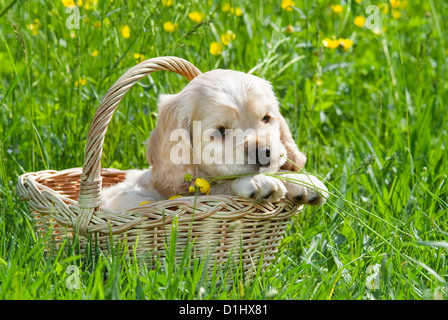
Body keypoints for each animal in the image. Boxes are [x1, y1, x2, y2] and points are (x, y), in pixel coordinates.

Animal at [100, 69, 328, 211]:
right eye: (220, 131)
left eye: (266, 118)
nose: (264, 153)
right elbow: (218, 189)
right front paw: (255, 181)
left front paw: (302, 181)